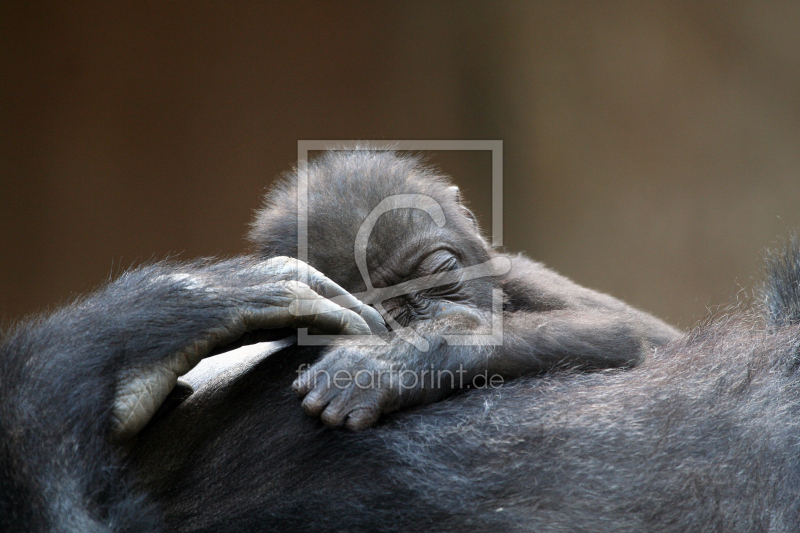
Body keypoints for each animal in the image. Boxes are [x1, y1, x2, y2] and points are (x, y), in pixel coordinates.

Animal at [250, 150, 680, 428]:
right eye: (391, 309)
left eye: (439, 273)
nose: (436, 317)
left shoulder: (525, 277)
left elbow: (614, 331)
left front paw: (393, 362)